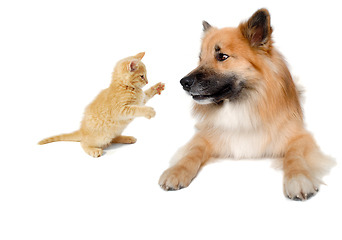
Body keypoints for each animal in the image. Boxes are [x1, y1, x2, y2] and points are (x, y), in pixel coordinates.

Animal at [159, 8, 336, 201]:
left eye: (222, 56)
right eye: (200, 58)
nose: (183, 82)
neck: (242, 104)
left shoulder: (300, 137)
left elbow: (294, 156)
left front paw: (298, 178)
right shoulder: (205, 137)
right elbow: (192, 152)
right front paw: (177, 170)